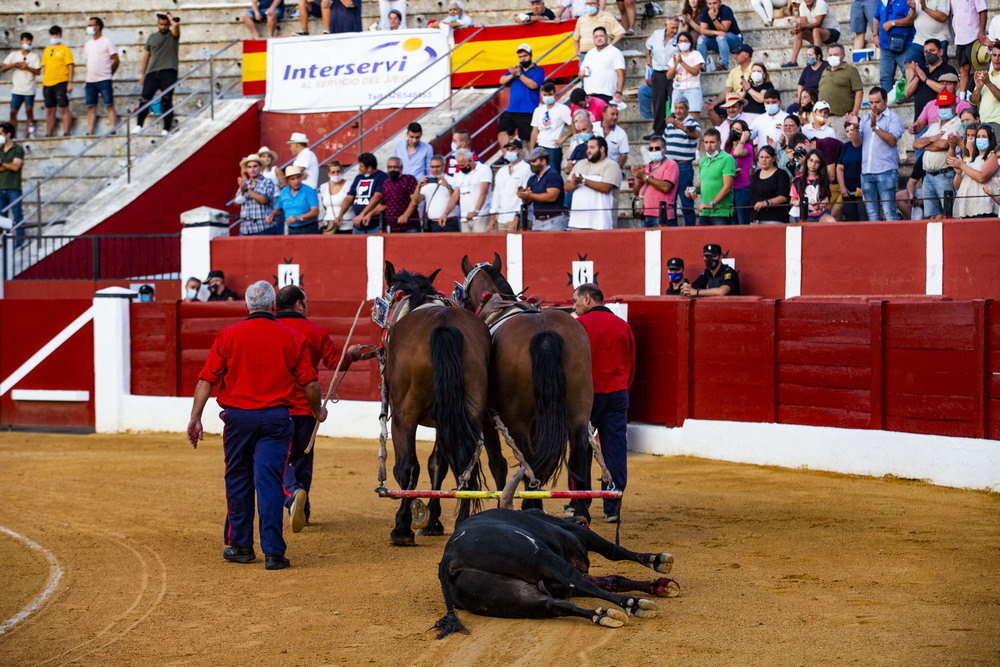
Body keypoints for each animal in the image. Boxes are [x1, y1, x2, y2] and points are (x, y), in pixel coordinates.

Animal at [376, 264, 500, 544]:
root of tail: (443, 327)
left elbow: (410, 468)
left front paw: (415, 518)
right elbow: (438, 464)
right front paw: (433, 521)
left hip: (405, 415)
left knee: (407, 467)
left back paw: (402, 528)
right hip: (465, 413)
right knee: (463, 464)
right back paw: (463, 520)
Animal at [458, 253, 596, 520]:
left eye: (465, 296)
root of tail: (545, 335)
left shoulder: (489, 419)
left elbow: (497, 462)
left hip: (517, 420)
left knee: (530, 461)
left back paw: (531, 505)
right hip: (579, 411)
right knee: (577, 457)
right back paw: (579, 513)